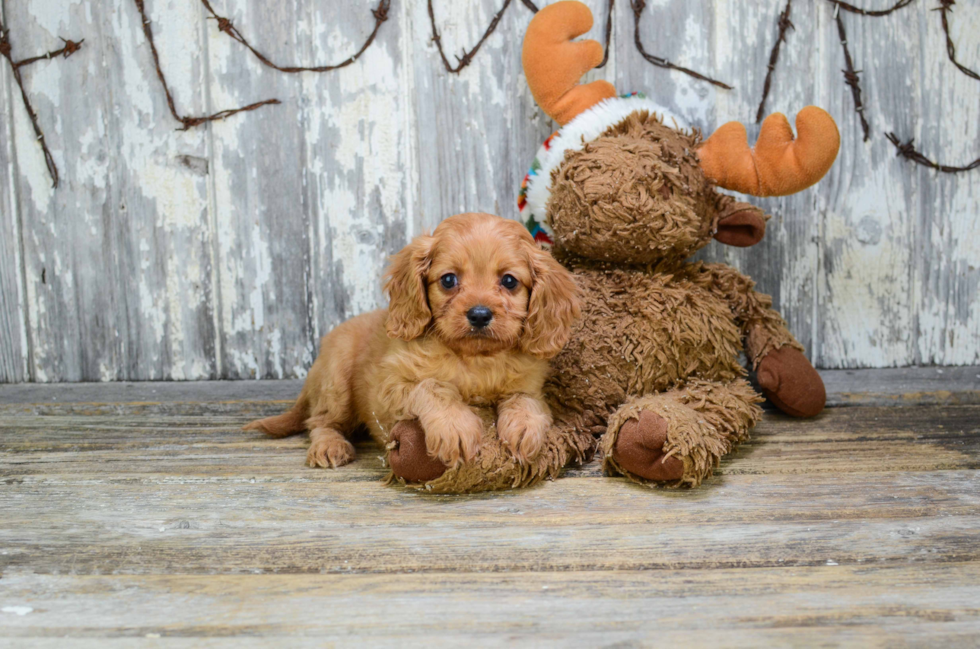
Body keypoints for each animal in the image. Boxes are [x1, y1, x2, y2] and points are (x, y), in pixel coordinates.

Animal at [244, 213, 580, 470]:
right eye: (448, 280)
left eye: (509, 281)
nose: (479, 314)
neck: (475, 360)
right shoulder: (389, 389)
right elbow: (432, 386)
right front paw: (455, 425)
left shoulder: (530, 385)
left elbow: (527, 400)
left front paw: (524, 426)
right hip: (335, 383)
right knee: (319, 422)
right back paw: (329, 446)